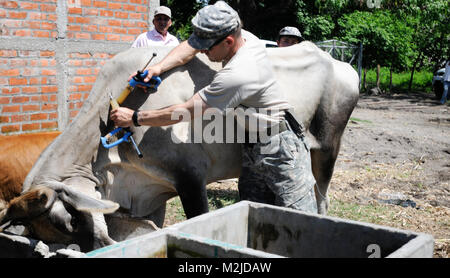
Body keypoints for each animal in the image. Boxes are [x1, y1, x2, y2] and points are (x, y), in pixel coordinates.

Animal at [0, 41, 358, 252]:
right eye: (50, 234)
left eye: (69, 221)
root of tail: (342, 64)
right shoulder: (149, 191)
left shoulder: (190, 177)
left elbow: (198, 217)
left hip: (326, 148)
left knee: (319, 199)